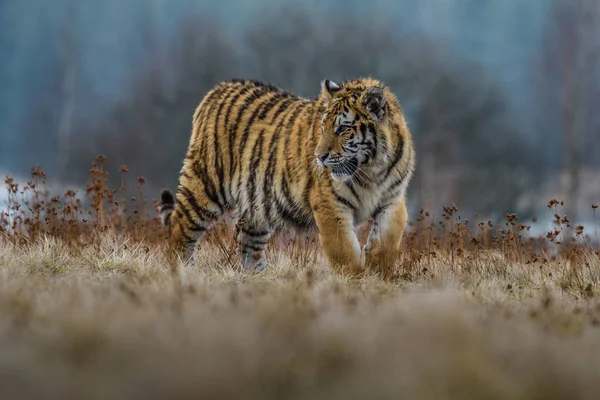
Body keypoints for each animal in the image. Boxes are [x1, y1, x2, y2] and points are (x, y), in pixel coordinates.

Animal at [157, 76, 414, 276]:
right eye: (324, 127)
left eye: (343, 129)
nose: (319, 156)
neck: (371, 170)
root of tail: (216, 90)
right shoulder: (330, 204)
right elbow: (343, 250)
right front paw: (354, 280)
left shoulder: (392, 199)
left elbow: (388, 239)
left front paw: (378, 273)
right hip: (205, 185)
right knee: (180, 228)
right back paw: (182, 271)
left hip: (257, 206)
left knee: (247, 243)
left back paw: (257, 278)